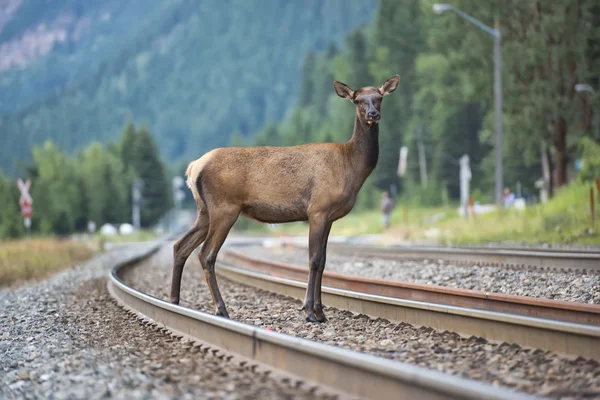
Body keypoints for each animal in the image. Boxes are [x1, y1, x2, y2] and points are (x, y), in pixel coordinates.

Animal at [171, 75, 400, 324]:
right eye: (357, 100)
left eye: (379, 98)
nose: (373, 114)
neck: (352, 168)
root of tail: (193, 167)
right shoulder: (318, 209)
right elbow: (314, 260)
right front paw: (309, 312)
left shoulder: (329, 217)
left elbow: (323, 261)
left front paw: (321, 312)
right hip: (224, 209)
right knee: (206, 254)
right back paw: (220, 310)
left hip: (204, 211)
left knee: (180, 246)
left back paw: (174, 301)